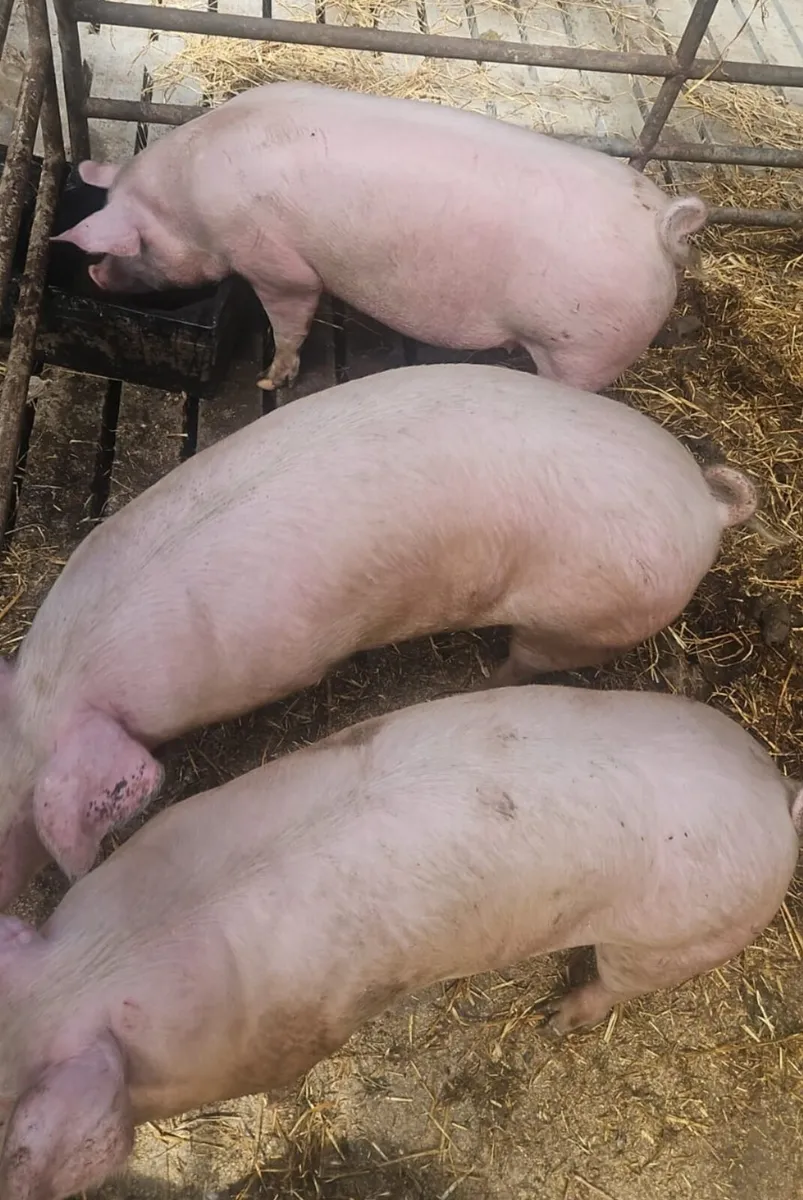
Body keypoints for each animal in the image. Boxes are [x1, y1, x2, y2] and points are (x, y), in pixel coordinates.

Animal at [0, 362, 757, 902]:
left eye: (17, 821)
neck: (64, 676)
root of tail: (704, 507)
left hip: (585, 618)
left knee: (528, 660)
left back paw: (486, 675)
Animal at [0, 684, 800, 1200]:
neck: (101, 967)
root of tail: (776, 798)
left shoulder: (284, 1040)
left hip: (678, 935)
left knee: (616, 982)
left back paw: (555, 1017)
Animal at [51, 80, 707, 393]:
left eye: (125, 248)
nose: (93, 275)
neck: (189, 204)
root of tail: (658, 228)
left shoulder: (276, 263)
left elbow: (291, 317)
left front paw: (270, 378)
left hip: (581, 351)